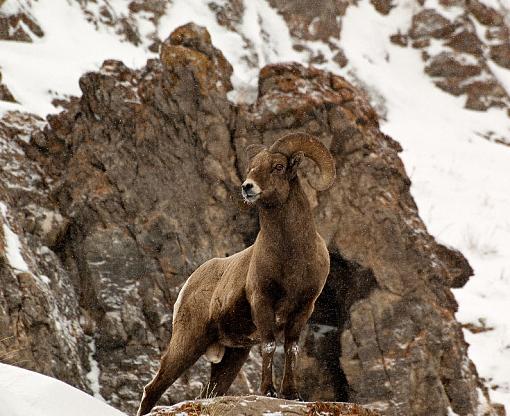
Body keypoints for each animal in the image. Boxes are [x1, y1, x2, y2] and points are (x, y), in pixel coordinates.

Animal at [136, 133, 334, 416]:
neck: (291, 256)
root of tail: (189, 284)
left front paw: (292, 394)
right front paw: (268, 391)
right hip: (188, 342)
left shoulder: (303, 308)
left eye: (278, 167)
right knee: (154, 388)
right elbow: (270, 345)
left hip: (230, 358)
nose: (248, 187)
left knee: (208, 392)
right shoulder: (263, 302)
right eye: (252, 167)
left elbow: (291, 348)